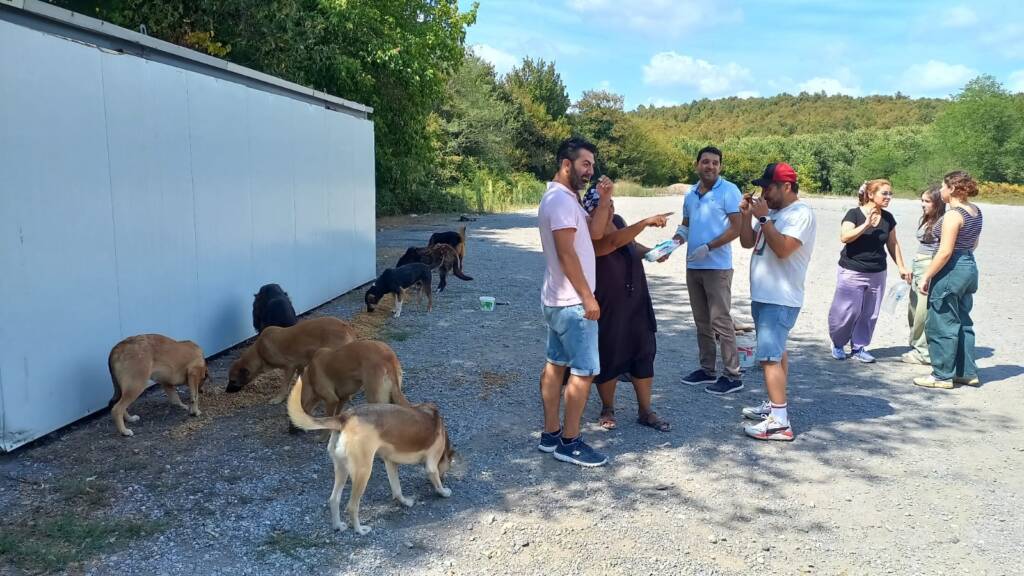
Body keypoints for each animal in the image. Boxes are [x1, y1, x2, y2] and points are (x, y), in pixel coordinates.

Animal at [225, 313, 356, 403]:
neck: (259, 351)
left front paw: (279, 398)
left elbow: (284, 385)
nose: (226, 391)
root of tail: (345, 326)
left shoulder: (289, 367)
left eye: (233, 381)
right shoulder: (300, 365)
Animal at [284, 375, 452, 532]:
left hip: (342, 469)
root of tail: (344, 417)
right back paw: (360, 530)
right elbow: (435, 479)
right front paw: (444, 492)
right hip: (363, 472)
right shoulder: (431, 465)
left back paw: (338, 526)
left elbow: (397, 489)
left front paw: (405, 502)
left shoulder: (390, 463)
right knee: (351, 506)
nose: (445, 477)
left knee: (334, 499)